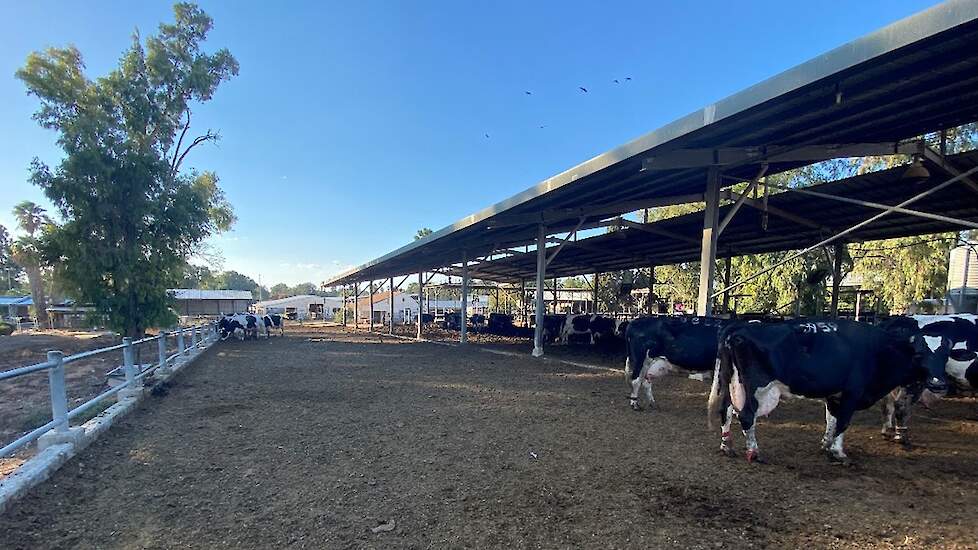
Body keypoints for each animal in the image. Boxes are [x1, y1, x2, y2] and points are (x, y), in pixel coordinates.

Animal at [704, 320, 948, 466]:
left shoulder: (834, 395)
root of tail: (738, 327)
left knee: (726, 410)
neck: (878, 350)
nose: (939, 384)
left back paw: (727, 446)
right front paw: (838, 453)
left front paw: (826, 445)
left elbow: (831, 419)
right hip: (757, 387)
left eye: (945, 355)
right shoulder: (852, 392)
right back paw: (754, 452)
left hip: (731, 380)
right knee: (746, 415)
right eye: (920, 354)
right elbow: (843, 422)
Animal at [876, 314, 976, 444]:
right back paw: (901, 436)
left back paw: (887, 430)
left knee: (886, 403)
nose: (937, 384)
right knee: (900, 405)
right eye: (919, 354)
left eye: (946, 356)